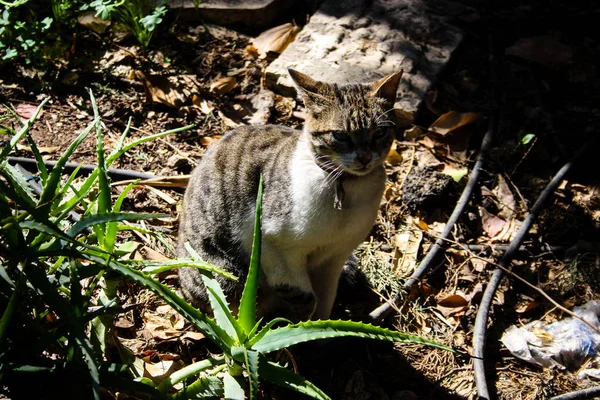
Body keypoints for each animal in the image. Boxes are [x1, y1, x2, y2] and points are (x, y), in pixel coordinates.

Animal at [178, 68, 404, 318]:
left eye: (380, 132)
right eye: (340, 135)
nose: (364, 157)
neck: (344, 188)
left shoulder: (335, 256)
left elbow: (325, 299)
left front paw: (320, 325)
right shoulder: (274, 244)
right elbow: (304, 296)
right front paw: (298, 320)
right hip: (225, 272)